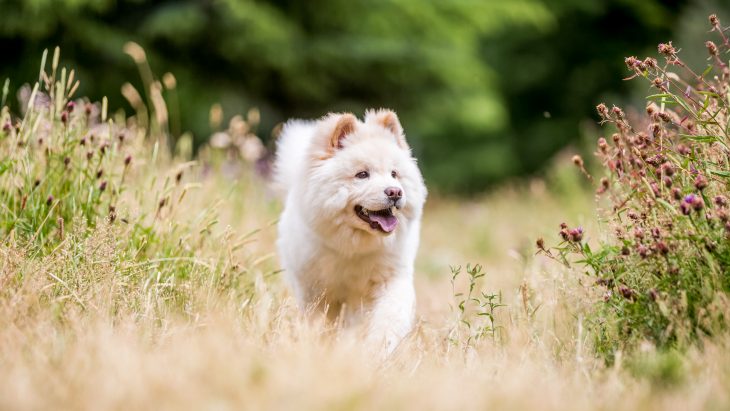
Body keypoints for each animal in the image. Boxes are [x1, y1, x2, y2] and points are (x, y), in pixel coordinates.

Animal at [276, 109, 430, 354]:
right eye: (362, 174)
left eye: (394, 174)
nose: (395, 192)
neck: (353, 247)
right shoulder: (315, 290)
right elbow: (318, 321)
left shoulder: (389, 280)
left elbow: (388, 318)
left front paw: (378, 349)